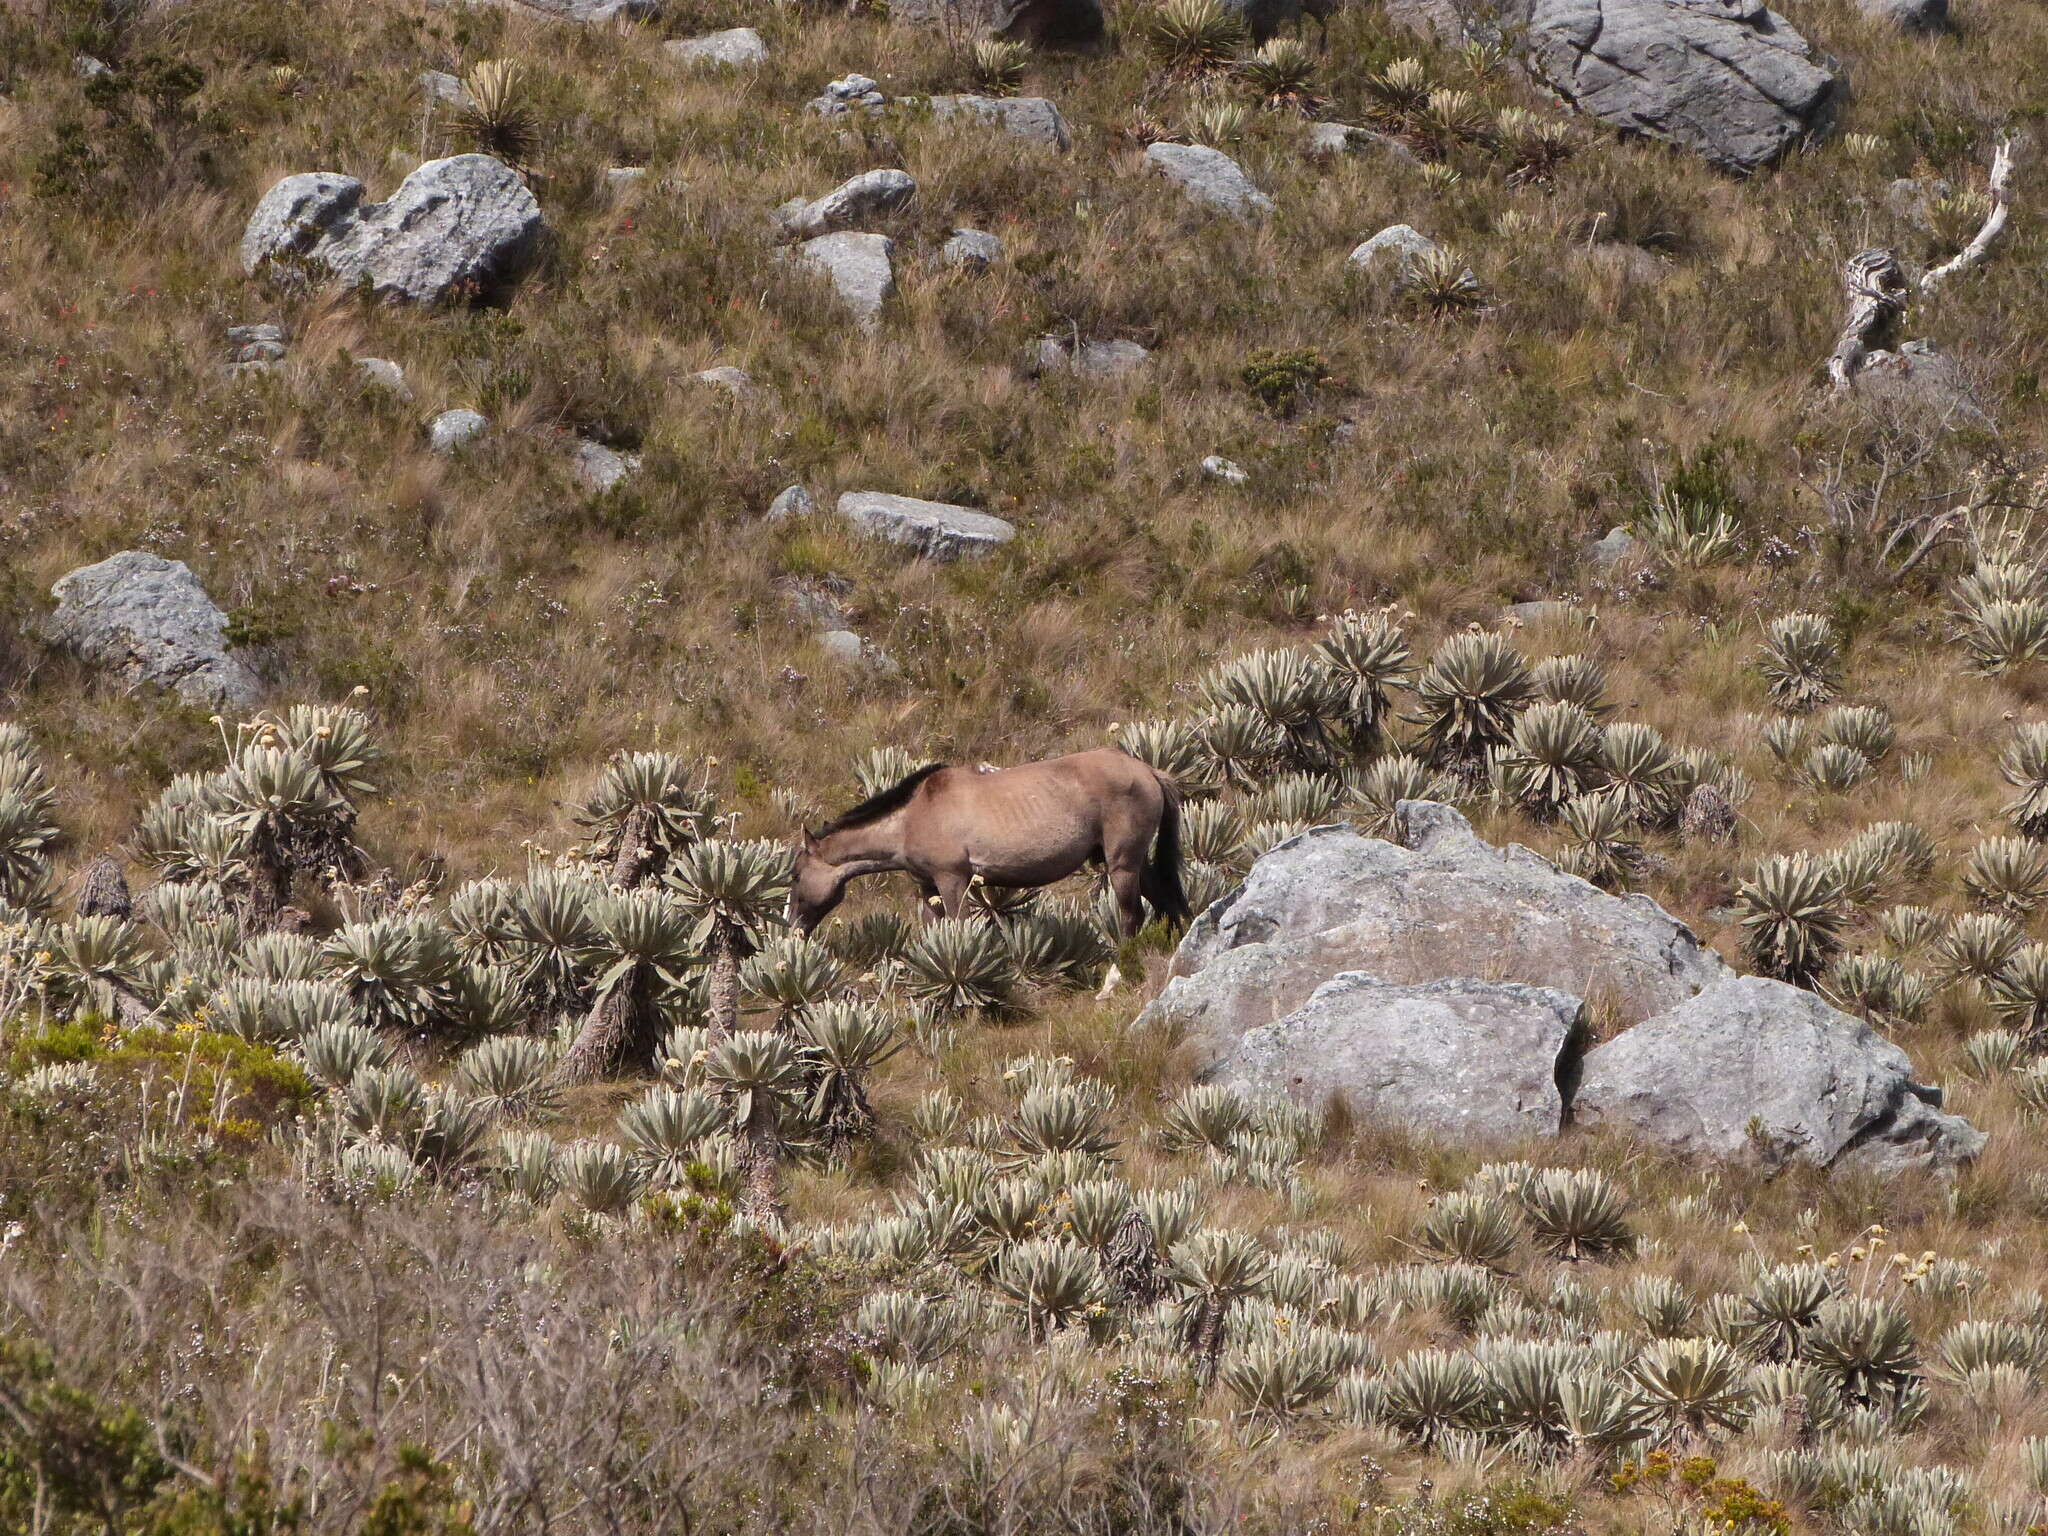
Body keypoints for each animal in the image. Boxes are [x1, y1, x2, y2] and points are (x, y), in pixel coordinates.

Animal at [790, 749, 1196, 937]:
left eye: (794, 875)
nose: (794, 927)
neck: (914, 815)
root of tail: (1147, 771)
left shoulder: (954, 881)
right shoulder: (928, 888)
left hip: (1121, 865)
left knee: (1132, 916)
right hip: (1135, 863)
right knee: (1165, 901)